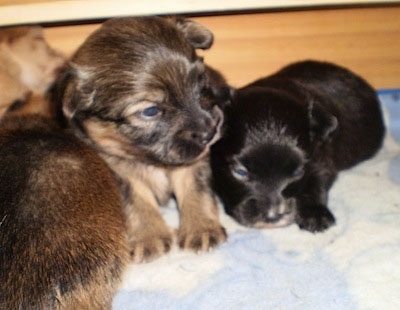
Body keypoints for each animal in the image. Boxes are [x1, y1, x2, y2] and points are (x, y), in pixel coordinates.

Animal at [211, 60, 386, 231]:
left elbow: (316, 182)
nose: (273, 216)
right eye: (240, 172)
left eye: (297, 172)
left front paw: (315, 214)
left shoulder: (321, 158)